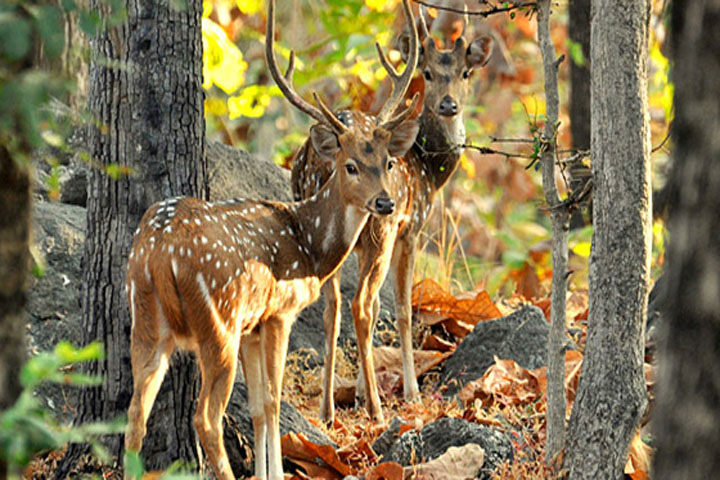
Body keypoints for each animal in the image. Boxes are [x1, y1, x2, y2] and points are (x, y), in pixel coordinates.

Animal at [122, 0, 416, 478]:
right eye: (351, 165)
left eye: (388, 161)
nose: (386, 203)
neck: (309, 245)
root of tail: (159, 255)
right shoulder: (279, 313)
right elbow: (275, 402)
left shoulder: (252, 327)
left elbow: (260, 407)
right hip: (217, 323)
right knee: (205, 417)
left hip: (146, 320)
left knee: (135, 413)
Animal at [290, 8, 492, 424]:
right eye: (427, 73)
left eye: (466, 73)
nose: (449, 105)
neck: (428, 170)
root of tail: (319, 161)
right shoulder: (411, 228)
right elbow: (400, 307)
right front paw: (410, 391)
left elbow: (370, 307)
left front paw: (359, 389)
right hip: (380, 227)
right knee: (360, 304)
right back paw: (377, 410)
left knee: (333, 308)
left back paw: (327, 409)